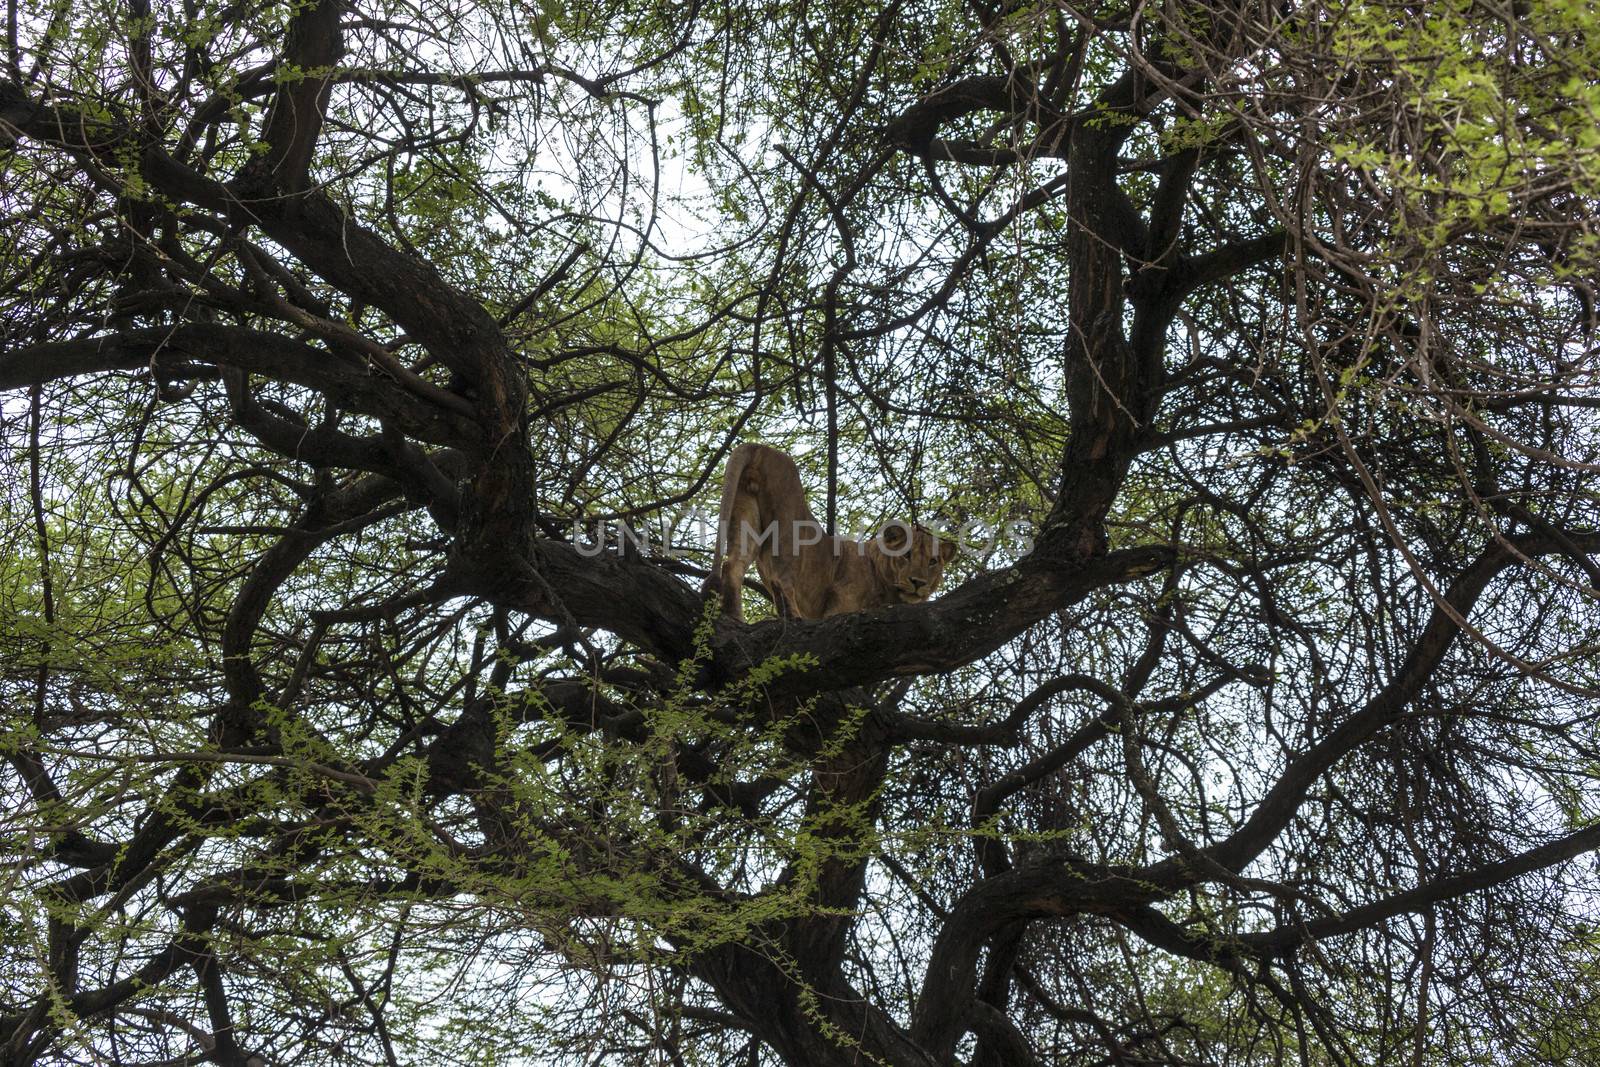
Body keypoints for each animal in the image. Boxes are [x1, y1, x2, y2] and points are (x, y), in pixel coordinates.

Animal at [707, 444, 953, 627]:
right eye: (906, 555)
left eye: (933, 562)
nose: (918, 582)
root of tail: (760, 447)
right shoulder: (839, 606)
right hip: (788, 524)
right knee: (780, 578)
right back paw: (793, 617)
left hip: (745, 512)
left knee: (733, 565)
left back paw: (735, 618)